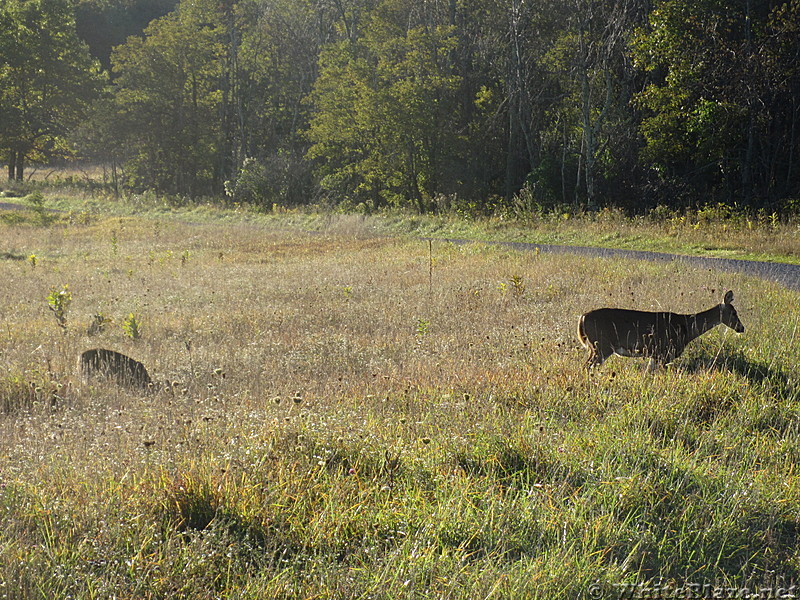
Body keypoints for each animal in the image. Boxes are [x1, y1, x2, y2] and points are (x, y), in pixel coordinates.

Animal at [580, 290, 748, 370]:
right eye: (734, 313)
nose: (742, 328)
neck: (687, 327)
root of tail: (583, 316)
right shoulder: (666, 352)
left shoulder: (655, 354)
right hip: (602, 345)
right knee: (586, 366)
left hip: (595, 347)